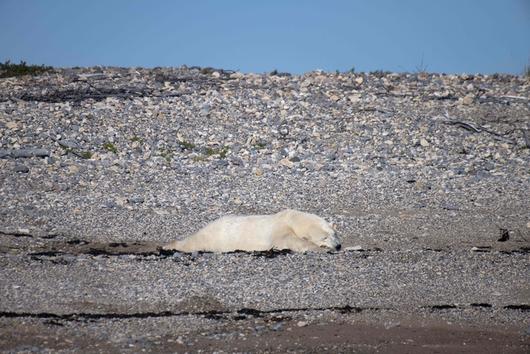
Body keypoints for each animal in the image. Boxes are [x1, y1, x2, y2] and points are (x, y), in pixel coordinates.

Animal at [162, 209, 338, 253]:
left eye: (334, 234)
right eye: (324, 237)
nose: (338, 246)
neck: (292, 219)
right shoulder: (278, 231)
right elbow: (289, 241)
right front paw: (316, 248)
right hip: (214, 236)